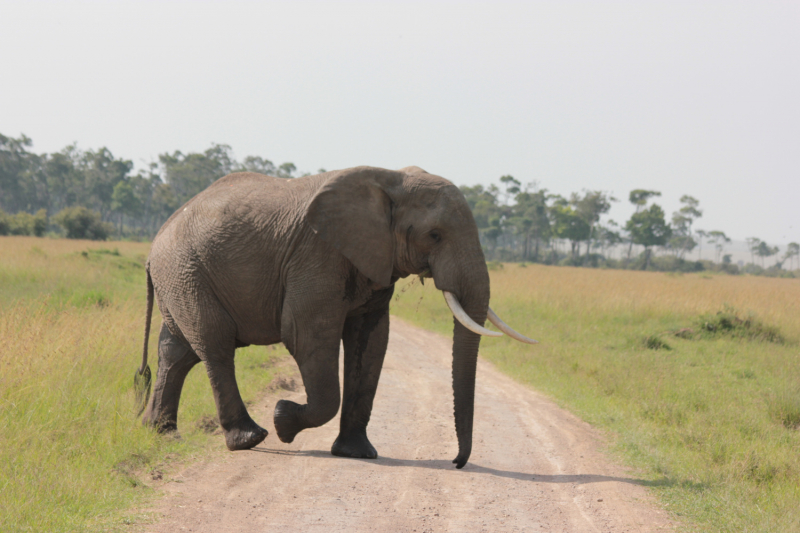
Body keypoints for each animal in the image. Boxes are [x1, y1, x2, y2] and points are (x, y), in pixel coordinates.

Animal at [134, 164, 536, 468]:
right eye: (434, 235)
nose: (456, 462)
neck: (391, 180)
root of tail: (154, 246)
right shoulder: (317, 254)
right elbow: (305, 335)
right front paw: (283, 420)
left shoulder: (372, 260)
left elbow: (371, 340)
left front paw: (356, 454)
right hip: (187, 271)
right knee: (214, 345)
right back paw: (250, 438)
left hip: (182, 278)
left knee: (177, 351)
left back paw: (160, 432)